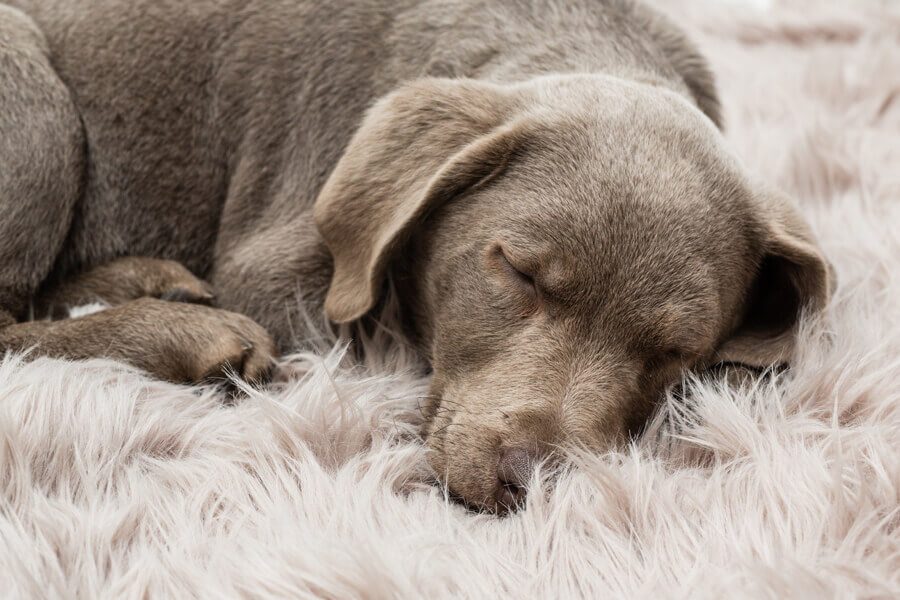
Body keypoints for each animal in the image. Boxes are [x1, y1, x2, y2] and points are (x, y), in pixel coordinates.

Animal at [0, 0, 832, 512]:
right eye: (518, 271)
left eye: (678, 350)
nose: (530, 482)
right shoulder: (279, 269)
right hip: (33, 96)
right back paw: (186, 332)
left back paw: (150, 283)